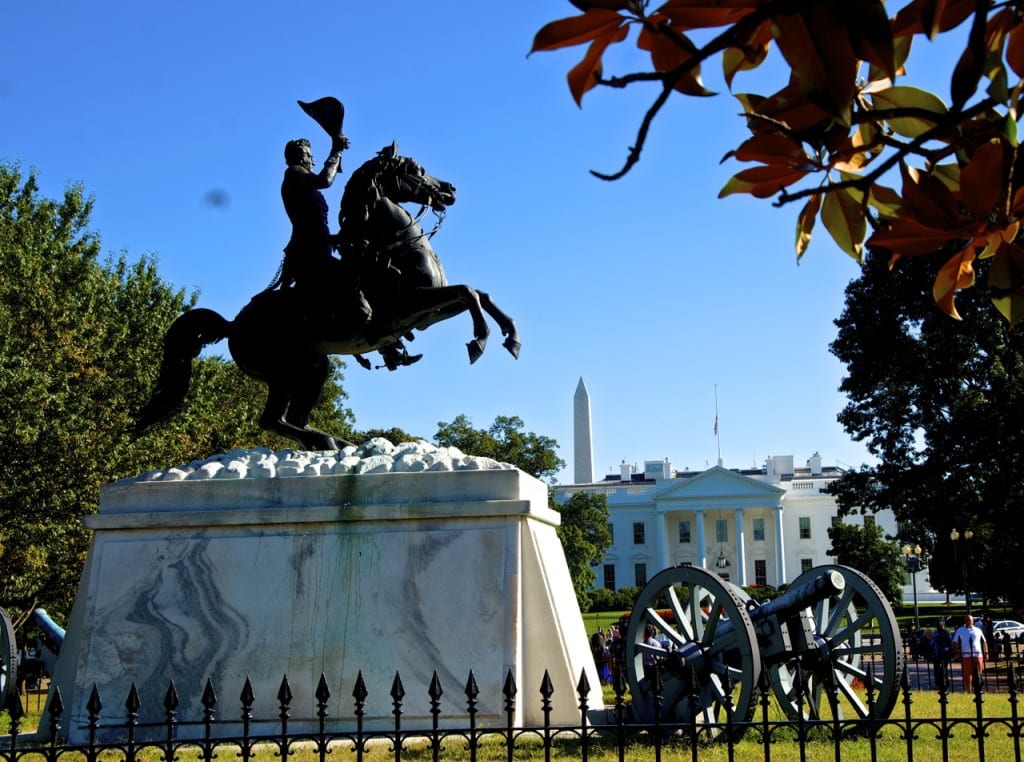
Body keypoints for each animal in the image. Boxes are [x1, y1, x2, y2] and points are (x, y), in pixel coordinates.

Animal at [136, 144, 520, 446]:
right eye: (416, 170)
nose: (450, 190)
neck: (396, 246)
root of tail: (232, 325)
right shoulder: (410, 306)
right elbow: (468, 293)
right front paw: (479, 341)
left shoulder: (427, 313)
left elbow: (480, 295)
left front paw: (511, 338)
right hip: (284, 370)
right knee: (272, 420)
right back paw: (326, 441)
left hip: (313, 365)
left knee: (292, 416)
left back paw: (335, 442)